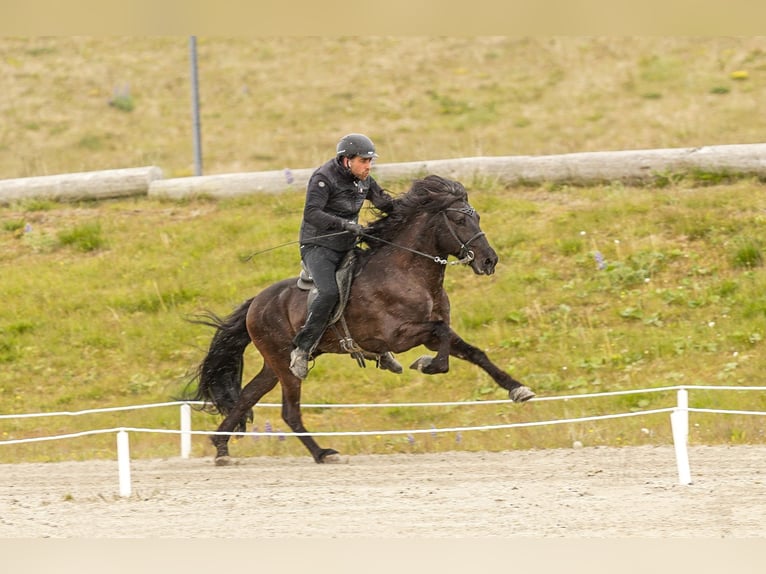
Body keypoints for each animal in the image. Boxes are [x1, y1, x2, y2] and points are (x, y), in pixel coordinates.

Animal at [184, 174, 535, 464]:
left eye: (477, 217)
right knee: (289, 412)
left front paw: (518, 390)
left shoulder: (431, 335)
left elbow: (472, 350)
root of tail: (256, 302)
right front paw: (427, 365)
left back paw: (221, 448)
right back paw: (322, 453)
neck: (408, 272)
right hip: (285, 364)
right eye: (460, 219)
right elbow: (442, 336)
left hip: (273, 365)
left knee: (247, 396)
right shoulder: (400, 335)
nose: (489, 260)